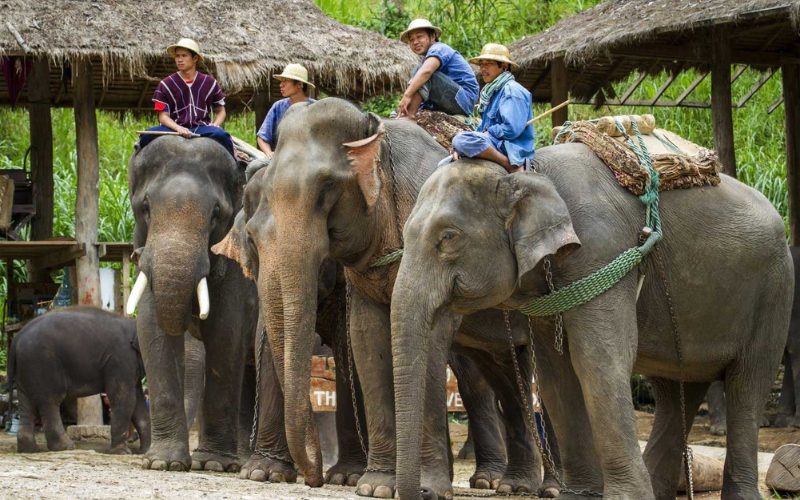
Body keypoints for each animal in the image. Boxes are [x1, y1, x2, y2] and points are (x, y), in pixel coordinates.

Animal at [8, 306, 151, 456]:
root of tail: (17, 338)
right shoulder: (120, 360)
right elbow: (125, 399)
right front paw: (122, 452)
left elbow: (138, 402)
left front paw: (145, 451)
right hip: (41, 362)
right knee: (50, 401)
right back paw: (65, 447)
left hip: (26, 366)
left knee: (26, 402)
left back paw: (29, 450)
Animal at [128, 135, 258, 470]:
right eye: (145, 207)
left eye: (216, 214)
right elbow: (151, 327)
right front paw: (163, 463)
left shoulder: (237, 265)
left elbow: (225, 335)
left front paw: (211, 464)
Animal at [228, 97, 556, 496]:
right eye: (251, 242)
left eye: (326, 188)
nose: (314, 477)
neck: (378, 135)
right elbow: (366, 339)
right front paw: (375, 486)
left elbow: (421, 340)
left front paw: (421, 487)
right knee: (509, 375)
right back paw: (515, 485)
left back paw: (541, 487)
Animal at [390, 149, 792, 500]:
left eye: (448, 237)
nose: (423, 493)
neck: (528, 171)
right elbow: (556, 375)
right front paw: (579, 496)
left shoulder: (600, 250)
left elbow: (596, 360)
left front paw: (624, 498)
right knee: (677, 388)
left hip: (774, 294)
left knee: (747, 385)